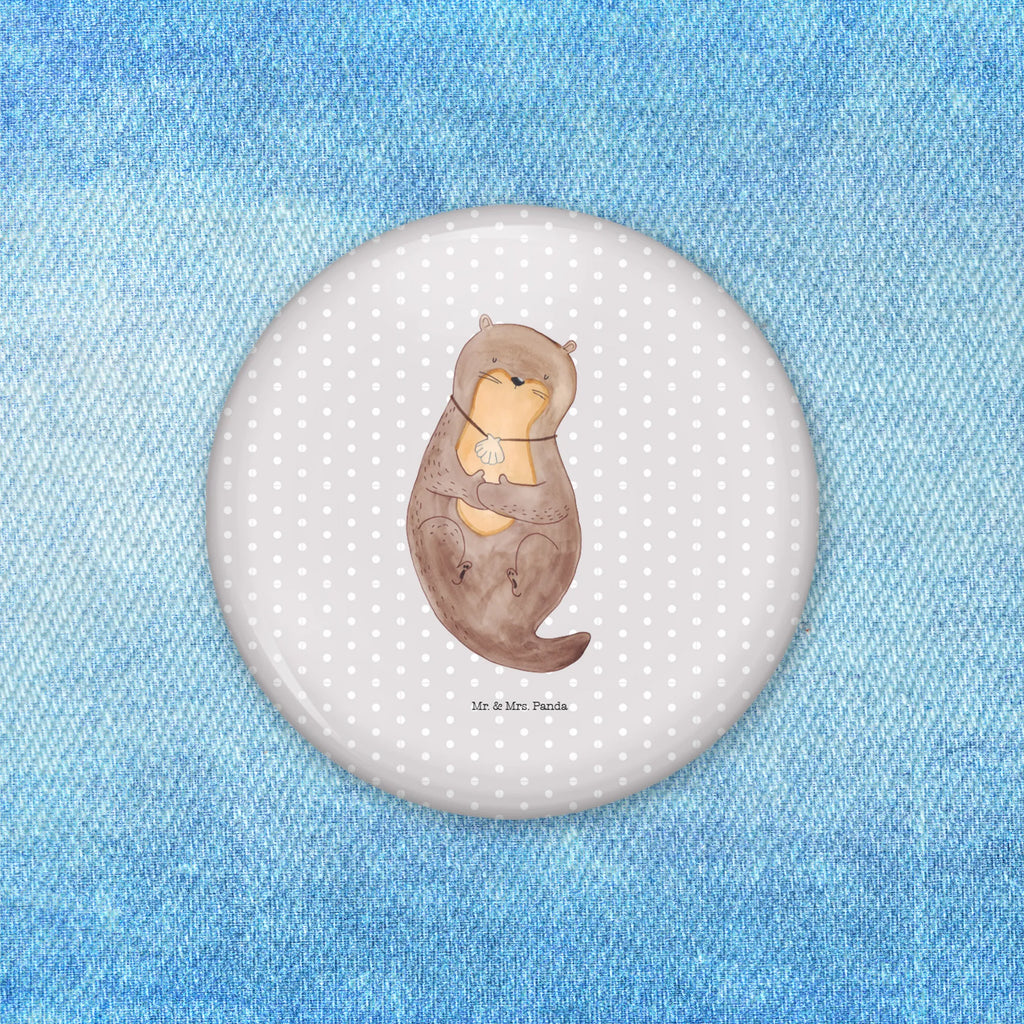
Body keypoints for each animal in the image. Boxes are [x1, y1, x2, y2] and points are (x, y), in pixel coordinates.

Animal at [406, 315, 591, 673]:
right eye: (494, 358)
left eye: (545, 375)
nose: (518, 378)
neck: (499, 430)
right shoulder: (445, 434)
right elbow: (441, 470)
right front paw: (475, 486)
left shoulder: (549, 462)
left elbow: (551, 501)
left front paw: (492, 490)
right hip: (435, 529)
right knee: (443, 535)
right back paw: (459, 571)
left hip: (545, 551)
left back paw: (516, 581)